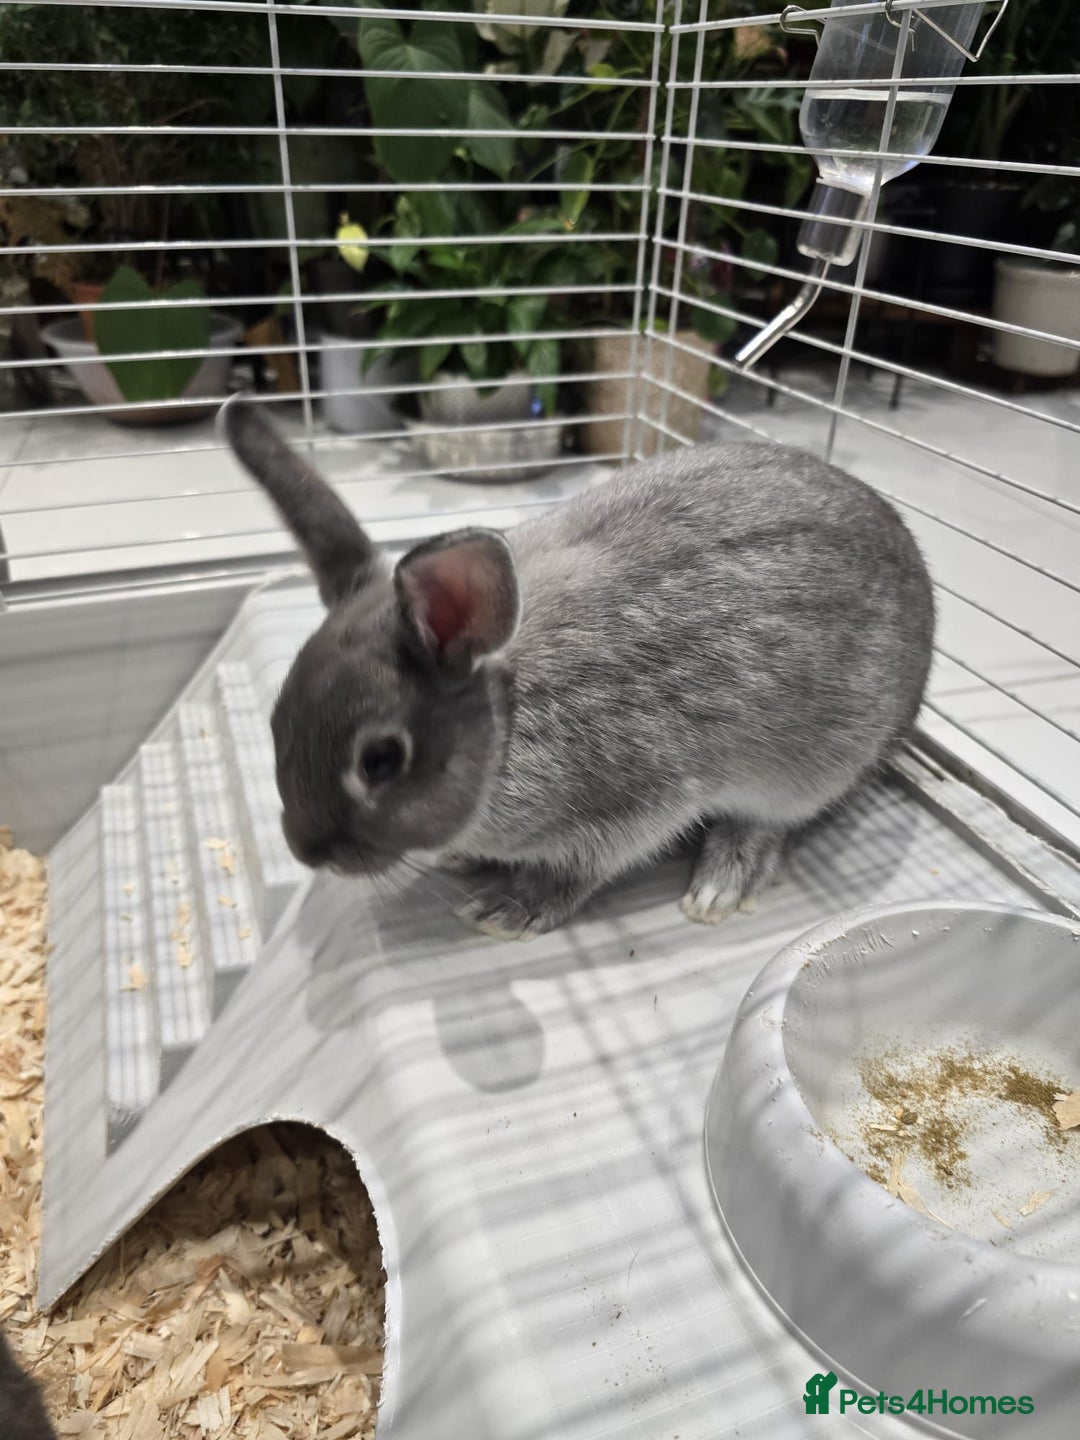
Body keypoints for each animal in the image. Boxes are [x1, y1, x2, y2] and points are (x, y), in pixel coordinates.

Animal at [222, 397, 934, 939]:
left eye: (380, 761)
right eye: (277, 722)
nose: (306, 850)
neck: (509, 721)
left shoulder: (629, 804)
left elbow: (580, 867)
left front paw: (508, 909)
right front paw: (463, 858)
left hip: (813, 767)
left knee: (772, 822)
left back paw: (721, 882)